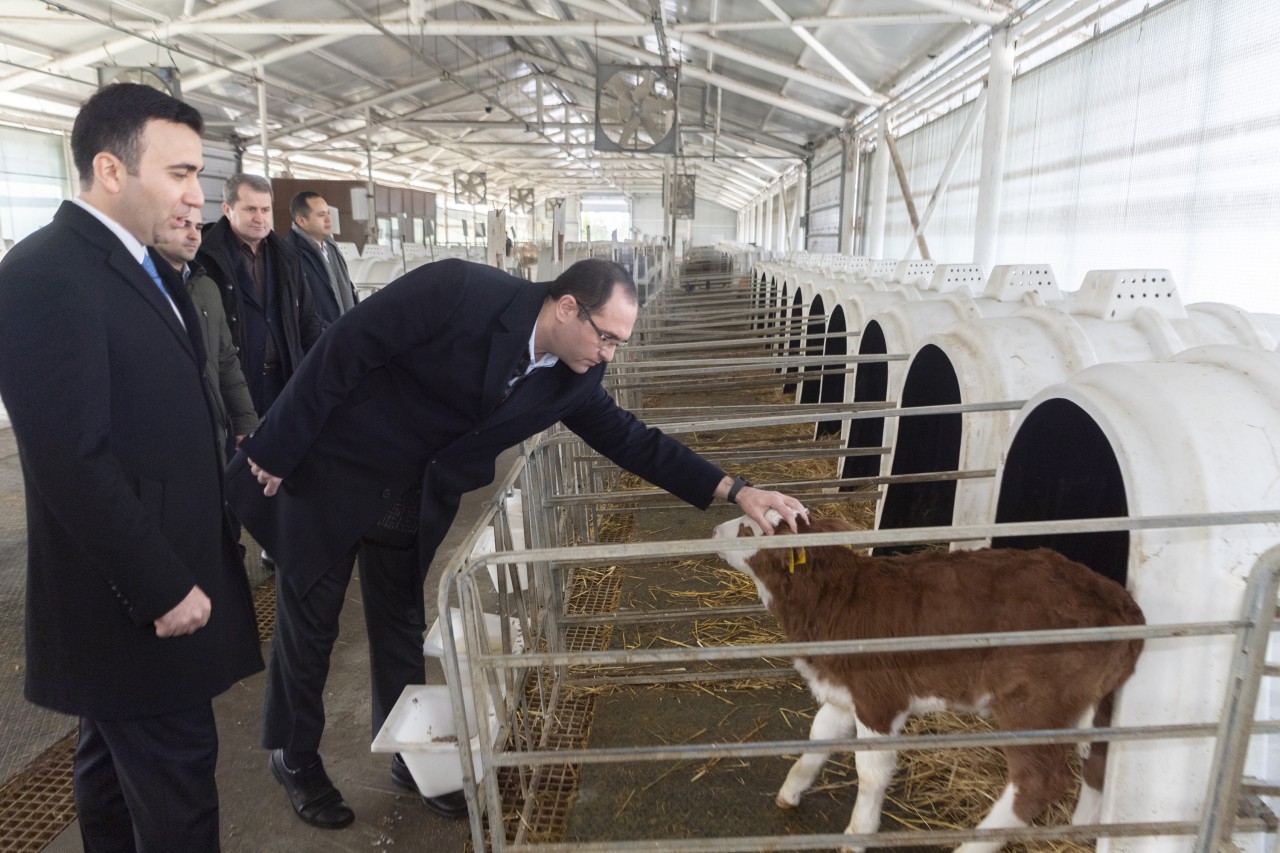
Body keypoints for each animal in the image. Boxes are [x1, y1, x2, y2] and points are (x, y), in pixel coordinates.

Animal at [716, 512, 1146, 850]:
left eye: (750, 527)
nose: (717, 531)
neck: (835, 598)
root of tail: (1119, 603)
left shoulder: (879, 698)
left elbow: (871, 771)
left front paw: (858, 833)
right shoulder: (842, 690)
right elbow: (819, 738)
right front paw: (791, 791)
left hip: (1035, 703)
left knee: (1039, 781)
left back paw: (974, 847)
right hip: (1096, 700)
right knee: (1098, 758)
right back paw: (1080, 829)